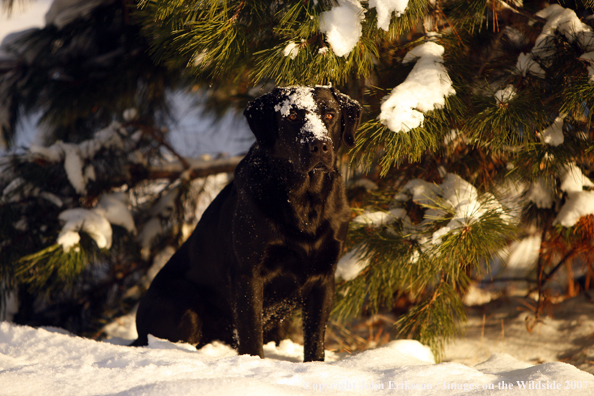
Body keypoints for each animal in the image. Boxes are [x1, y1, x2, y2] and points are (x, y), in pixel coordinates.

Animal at [132, 86, 358, 362]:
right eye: (292, 116)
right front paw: (253, 364)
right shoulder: (248, 272)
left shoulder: (324, 275)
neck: (305, 202)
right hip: (183, 302)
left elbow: (315, 337)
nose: (319, 145)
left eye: (329, 114)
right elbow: (251, 333)